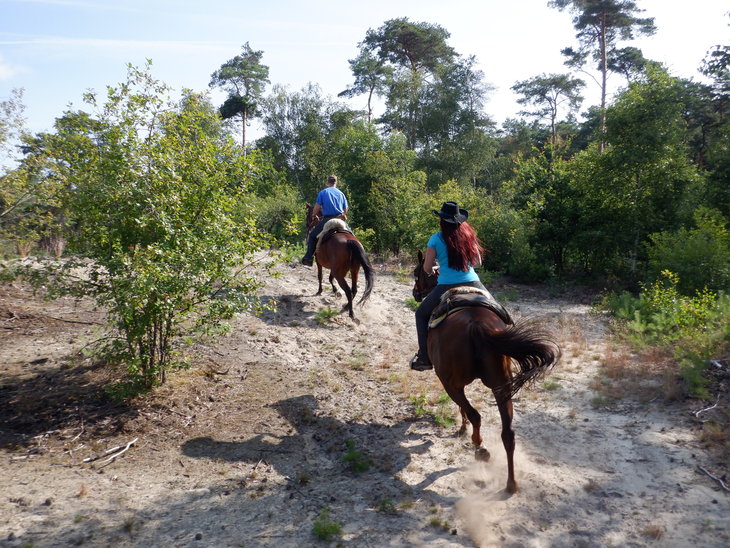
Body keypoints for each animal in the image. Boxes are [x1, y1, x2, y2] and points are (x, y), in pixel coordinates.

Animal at [410, 250, 556, 494]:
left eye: (416, 272)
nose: (415, 293)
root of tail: (476, 325)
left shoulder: (453, 384)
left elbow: (464, 409)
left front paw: (462, 429)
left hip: (451, 384)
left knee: (475, 414)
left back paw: (480, 449)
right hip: (501, 386)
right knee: (508, 433)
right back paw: (511, 484)